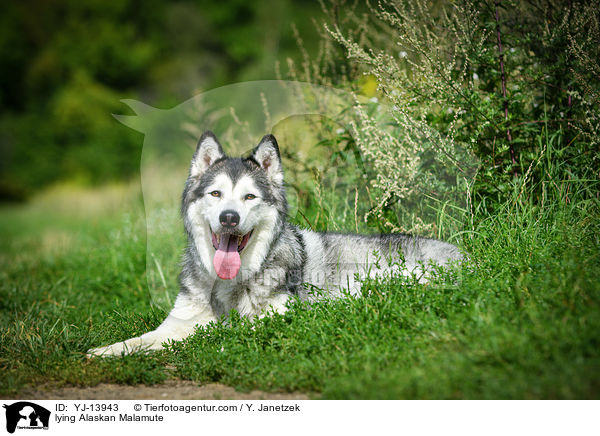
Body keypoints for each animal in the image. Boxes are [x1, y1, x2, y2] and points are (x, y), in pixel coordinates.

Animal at [89, 131, 464, 356]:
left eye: (249, 197)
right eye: (216, 194)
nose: (229, 218)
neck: (230, 284)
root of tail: (465, 256)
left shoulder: (282, 316)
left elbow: (221, 331)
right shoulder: (177, 321)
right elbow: (141, 339)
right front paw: (104, 351)